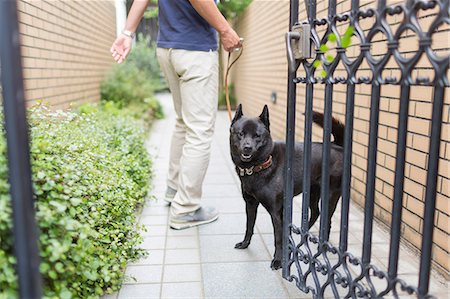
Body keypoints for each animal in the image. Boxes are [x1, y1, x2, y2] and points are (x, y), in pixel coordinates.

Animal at [229, 105, 344, 270]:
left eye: (257, 136)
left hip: (329, 196)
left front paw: (278, 260)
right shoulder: (250, 204)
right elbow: (249, 226)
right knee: (315, 212)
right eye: (240, 134)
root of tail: (336, 145)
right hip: (312, 193)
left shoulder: (277, 212)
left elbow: (278, 238)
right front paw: (245, 244)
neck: (261, 165)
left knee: (326, 221)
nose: (247, 148)